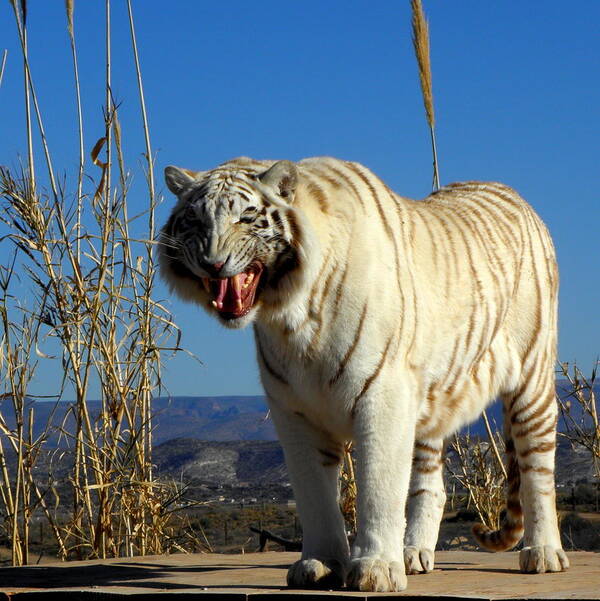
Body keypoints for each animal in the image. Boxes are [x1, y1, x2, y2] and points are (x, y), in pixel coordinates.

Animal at [158, 155, 568, 592]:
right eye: (194, 220)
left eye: (247, 217)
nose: (211, 263)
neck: (291, 315)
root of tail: (510, 192)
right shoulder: (295, 410)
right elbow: (314, 494)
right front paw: (320, 563)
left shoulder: (383, 395)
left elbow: (379, 487)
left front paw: (376, 569)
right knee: (431, 485)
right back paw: (413, 553)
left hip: (533, 381)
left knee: (537, 470)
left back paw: (543, 553)